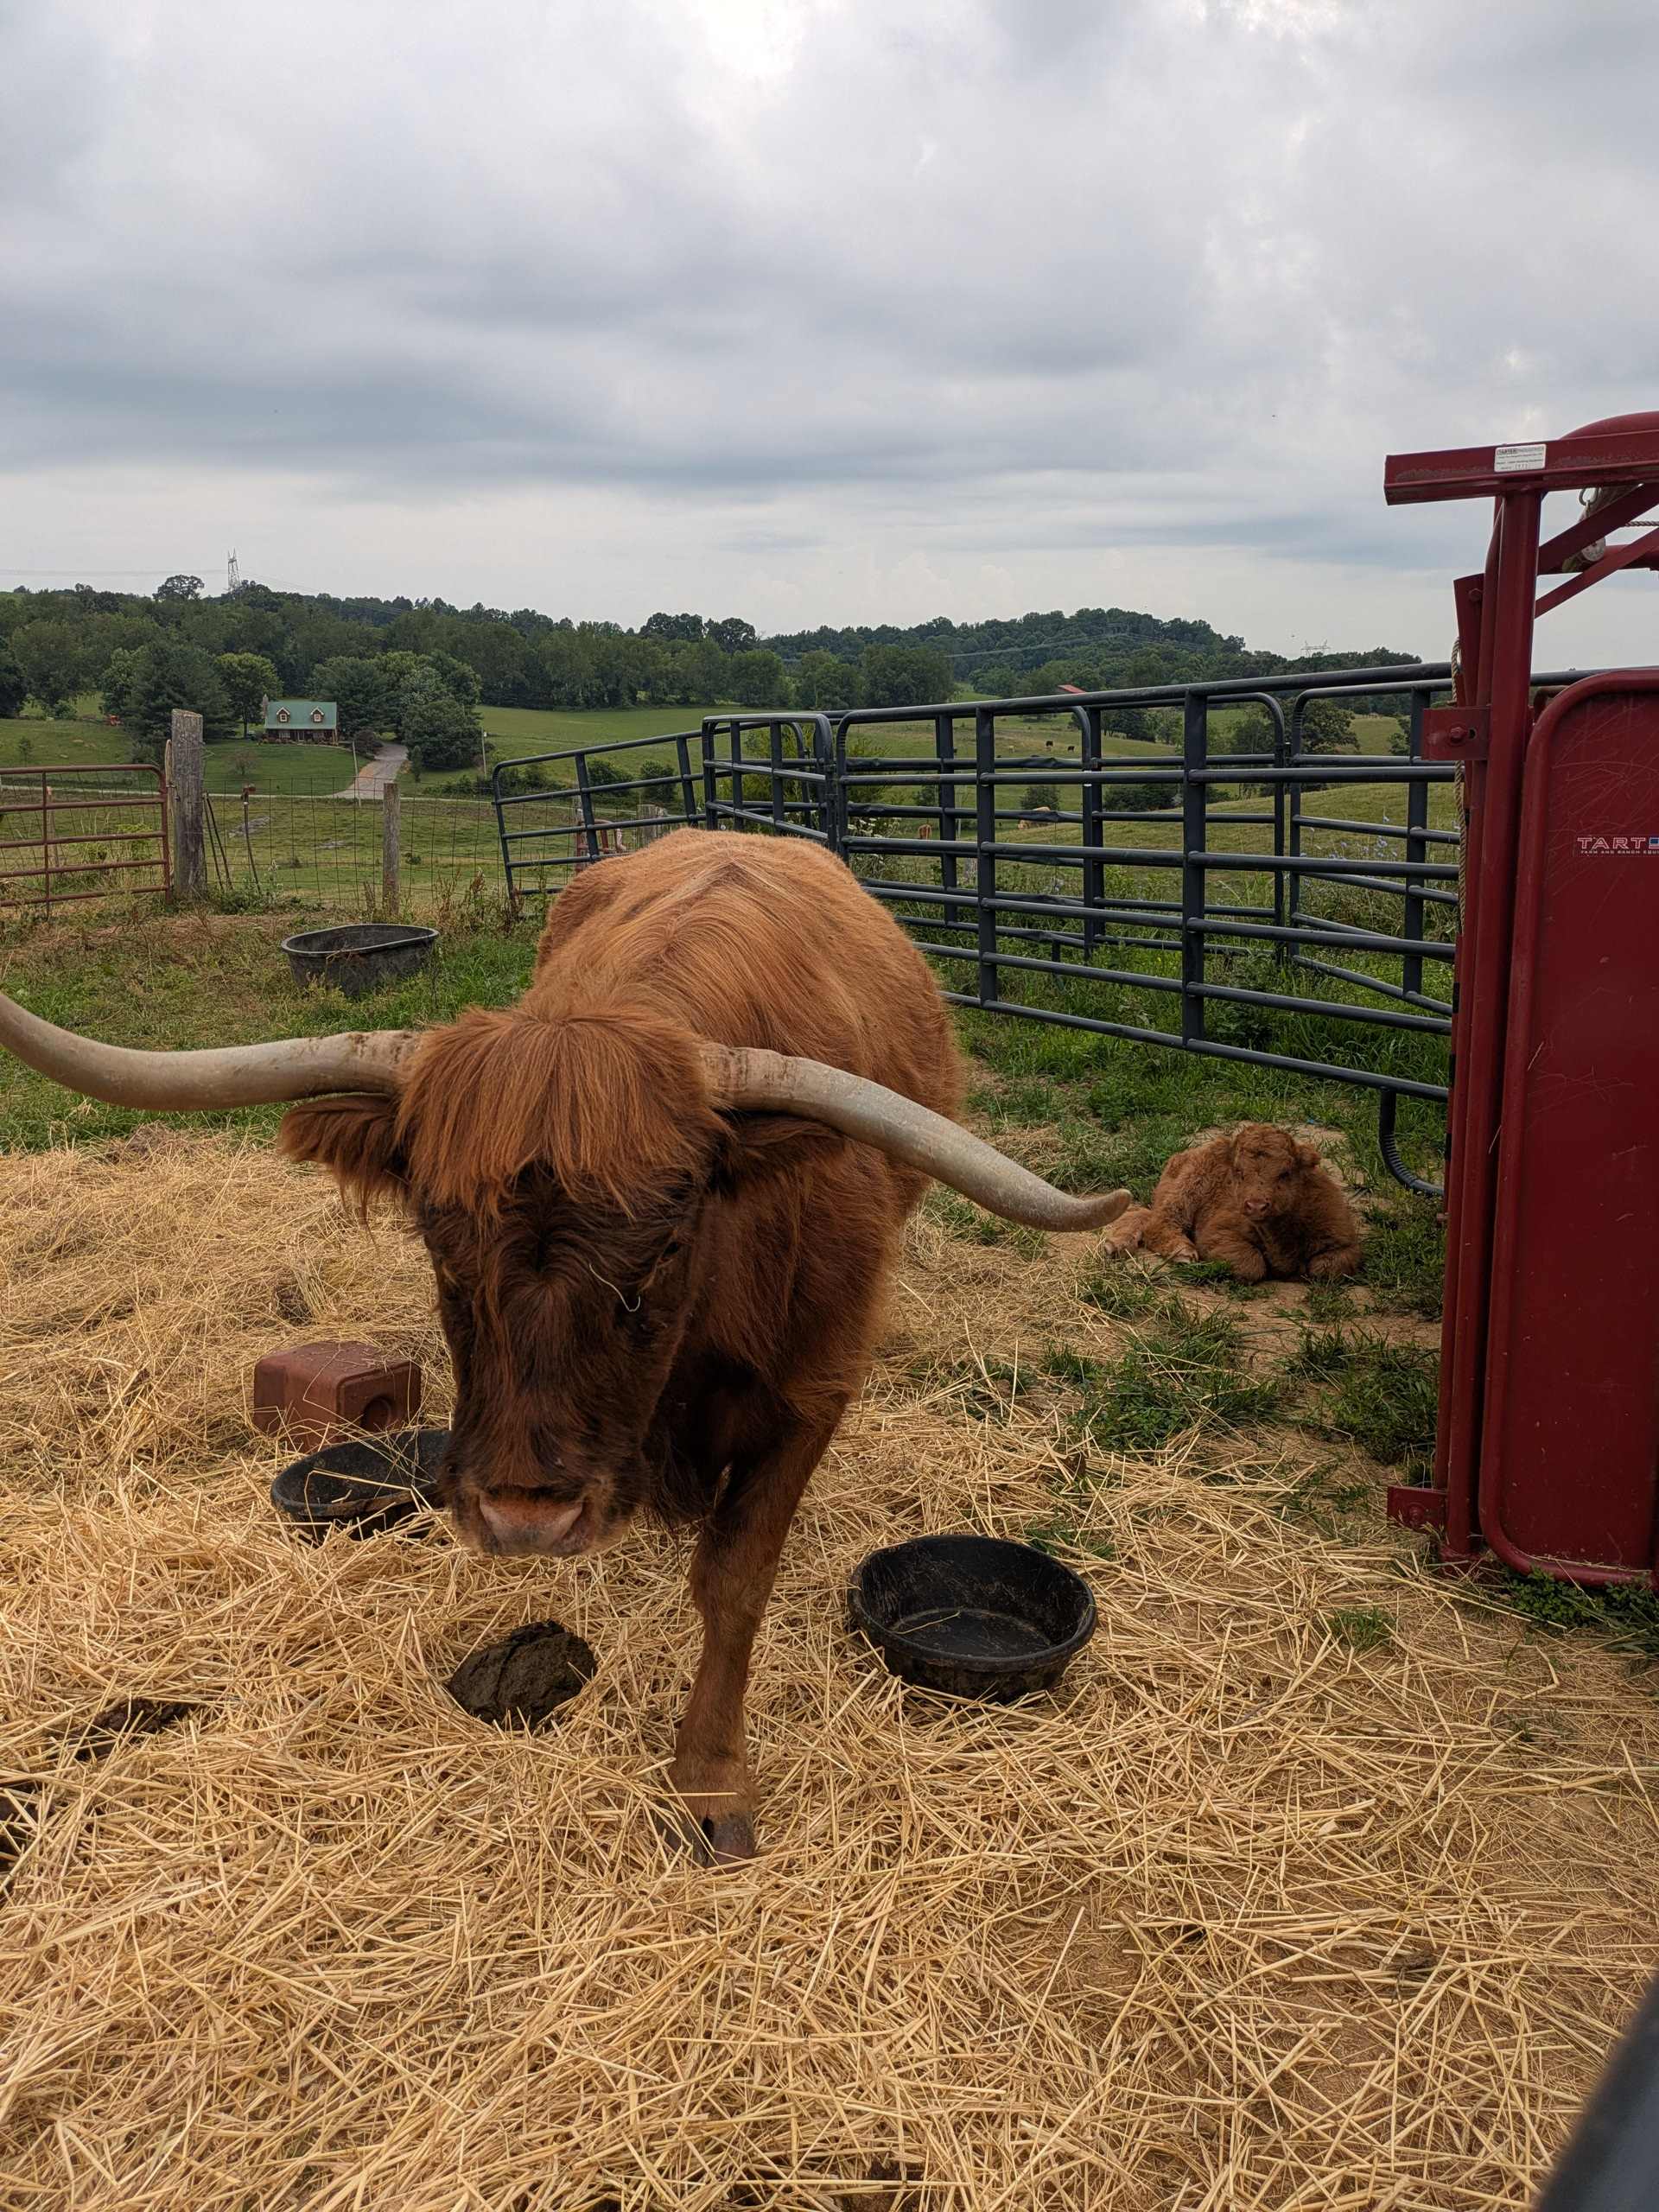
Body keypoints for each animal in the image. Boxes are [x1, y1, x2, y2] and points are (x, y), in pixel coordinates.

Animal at [0, 830, 1130, 1861]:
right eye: (436, 1236)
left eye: (667, 1241)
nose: (524, 1510)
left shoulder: (814, 1386)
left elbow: (735, 1580)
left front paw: (710, 1782)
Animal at [1102, 1123, 1362, 1284]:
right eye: (1238, 1171)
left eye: (1285, 1173)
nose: (1256, 1205)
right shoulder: (1218, 1233)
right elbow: (1251, 1264)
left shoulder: (1345, 1242)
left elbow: (1325, 1269)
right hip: (1185, 1190)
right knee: (1158, 1223)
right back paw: (1182, 1252)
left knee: (1141, 1214)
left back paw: (1116, 1245)